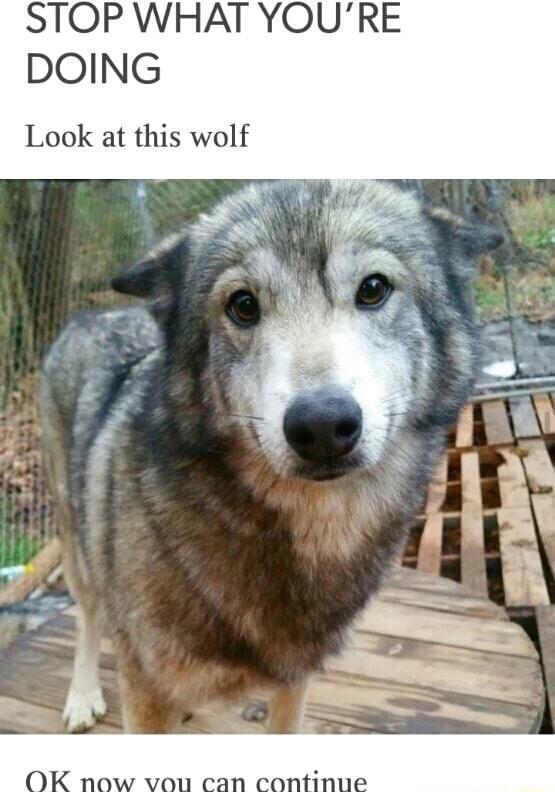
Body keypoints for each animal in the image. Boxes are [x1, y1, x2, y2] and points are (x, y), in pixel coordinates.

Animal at [40, 180, 503, 733]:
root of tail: (92, 315)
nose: (322, 426)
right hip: (78, 550)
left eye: (373, 288)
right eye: (243, 305)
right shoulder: (145, 689)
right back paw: (82, 695)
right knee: (88, 619)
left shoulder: (294, 678)